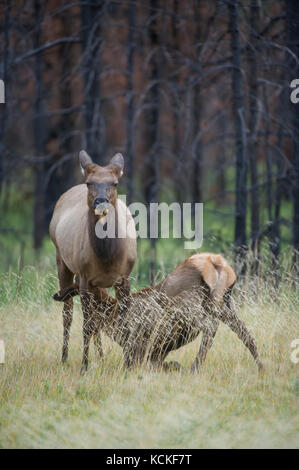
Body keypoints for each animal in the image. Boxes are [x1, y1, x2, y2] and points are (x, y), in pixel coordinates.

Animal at [50, 150, 137, 370]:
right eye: (90, 183)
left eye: (115, 183)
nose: (101, 201)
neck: (108, 259)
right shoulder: (84, 279)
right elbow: (86, 326)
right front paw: (84, 366)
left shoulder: (124, 279)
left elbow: (123, 322)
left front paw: (128, 365)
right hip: (62, 260)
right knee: (68, 313)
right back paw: (64, 358)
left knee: (95, 316)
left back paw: (102, 356)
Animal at [54, 253, 264, 374]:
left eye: (75, 289)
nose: (57, 294)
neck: (112, 319)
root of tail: (216, 263)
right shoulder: (157, 351)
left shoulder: (138, 344)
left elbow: (136, 362)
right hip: (226, 304)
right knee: (248, 336)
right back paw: (261, 368)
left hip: (191, 305)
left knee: (210, 328)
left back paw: (194, 368)